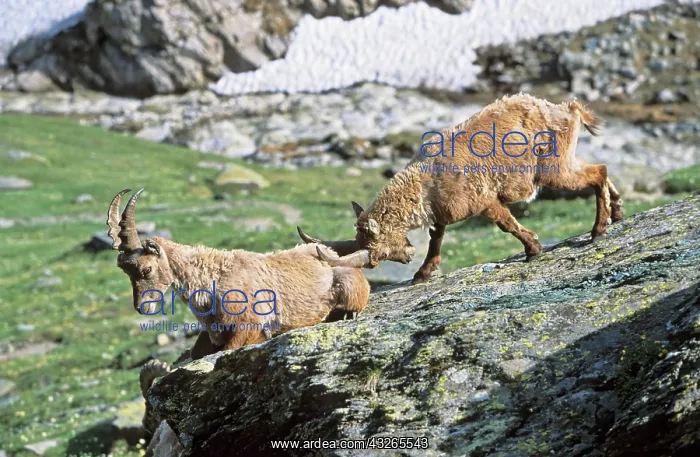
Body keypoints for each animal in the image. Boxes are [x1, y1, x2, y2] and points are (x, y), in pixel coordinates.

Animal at [107, 188, 370, 359]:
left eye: (147, 268)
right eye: (126, 271)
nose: (142, 307)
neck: (213, 279)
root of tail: (329, 252)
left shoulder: (249, 323)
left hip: (348, 285)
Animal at [297, 93, 624, 283]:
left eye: (380, 253)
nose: (407, 256)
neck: (425, 182)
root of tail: (568, 109)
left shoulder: (483, 201)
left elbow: (506, 223)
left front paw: (533, 248)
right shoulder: (441, 212)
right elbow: (436, 239)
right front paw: (423, 272)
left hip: (553, 169)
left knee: (597, 173)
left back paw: (599, 228)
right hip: (563, 159)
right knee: (600, 168)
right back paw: (617, 211)